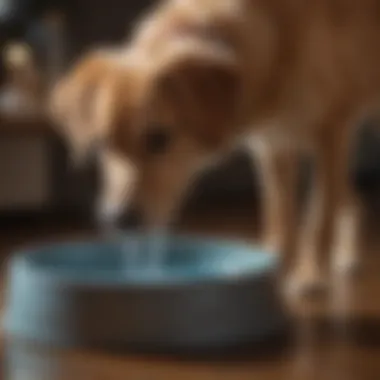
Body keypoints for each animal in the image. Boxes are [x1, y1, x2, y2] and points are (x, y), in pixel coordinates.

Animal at [50, 0, 380, 296]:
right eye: (103, 143)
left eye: (158, 138)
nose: (118, 220)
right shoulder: (273, 144)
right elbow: (279, 213)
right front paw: (270, 263)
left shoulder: (331, 129)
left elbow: (319, 217)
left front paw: (311, 275)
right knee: (352, 198)